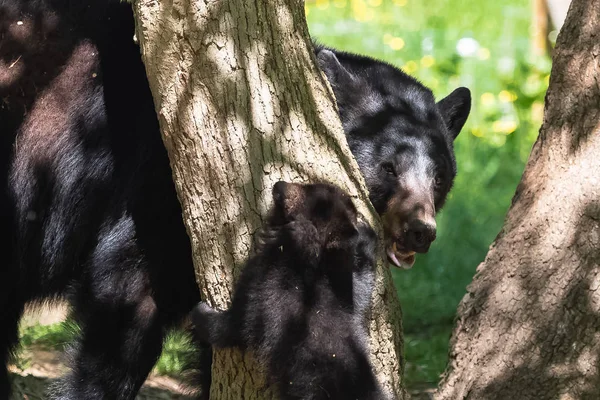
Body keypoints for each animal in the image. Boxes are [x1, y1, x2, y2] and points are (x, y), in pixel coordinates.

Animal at [192, 182, 390, 400]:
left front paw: (201, 314)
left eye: (308, 188)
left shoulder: (262, 280)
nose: (279, 184)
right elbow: (361, 286)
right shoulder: (343, 287)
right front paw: (367, 238)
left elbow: (234, 325)